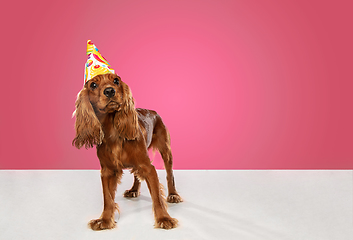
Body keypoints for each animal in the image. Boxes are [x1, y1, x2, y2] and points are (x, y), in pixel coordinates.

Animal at [72, 72, 182, 230]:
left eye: (116, 80)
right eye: (93, 85)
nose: (109, 91)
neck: (113, 132)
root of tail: (153, 111)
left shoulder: (147, 167)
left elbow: (157, 197)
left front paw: (164, 218)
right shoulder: (107, 171)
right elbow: (108, 199)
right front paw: (105, 220)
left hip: (166, 150)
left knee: (169, 173)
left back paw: (173, 194)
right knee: (137, 175)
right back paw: (134, 190)